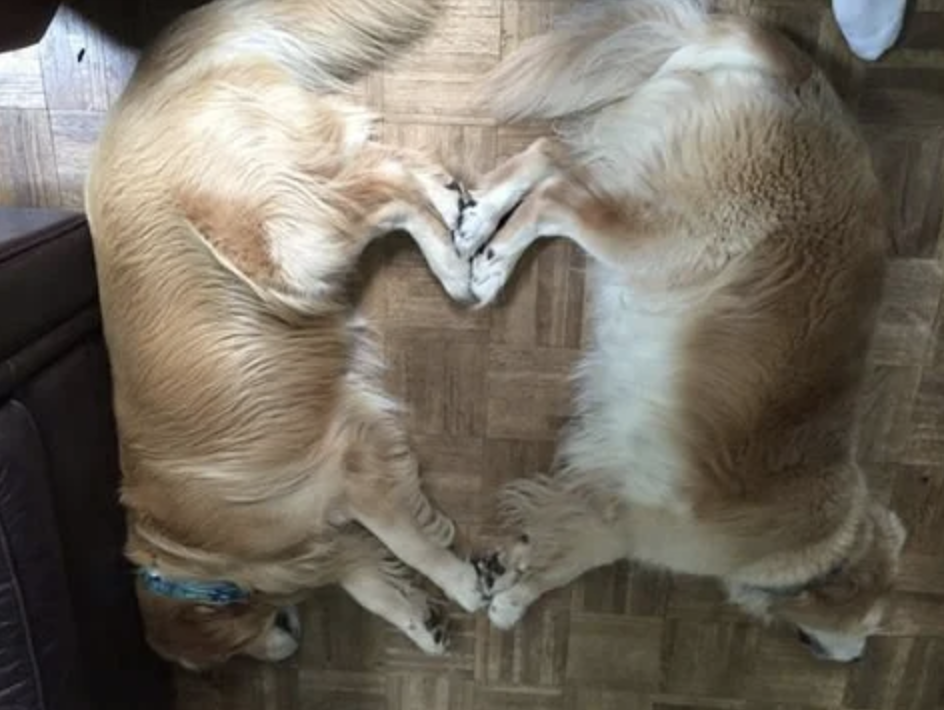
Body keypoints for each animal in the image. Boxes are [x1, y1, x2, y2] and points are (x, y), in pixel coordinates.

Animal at [85, 0, 486, 672]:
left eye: (223, 657)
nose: (287, 650)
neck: (196, 551)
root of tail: (145, 87)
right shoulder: (329, 528)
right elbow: (369, 580)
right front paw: (420, 619)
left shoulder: (346, 470)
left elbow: (409, 546)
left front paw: (459, 583)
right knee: (385, 167)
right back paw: (451, 204)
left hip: (289, 251)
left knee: (383, 195)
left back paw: (453, 269)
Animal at [458, 1, 908, 668]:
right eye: (868, 624)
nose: (851, 661)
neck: (822, 540)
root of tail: (801, 78)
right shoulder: (634, 523)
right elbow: (573, 560)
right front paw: (517, 598)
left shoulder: (602, 487)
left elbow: (551, 530)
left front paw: (511, 568)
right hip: (664, 243)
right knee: (557, 199)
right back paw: (491, 260)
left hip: (637, 183)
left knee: (549, 158)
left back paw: (481, 221)